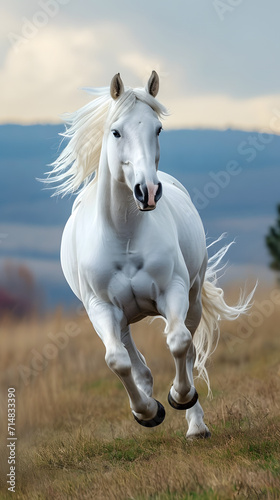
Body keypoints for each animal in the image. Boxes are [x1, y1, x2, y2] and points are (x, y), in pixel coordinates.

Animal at [46, 71, 254, 438]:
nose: (148, 191)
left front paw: (179, 399)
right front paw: (146, 411)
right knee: (132, 358)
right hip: (121, 318)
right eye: (116, 132)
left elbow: (178, 343)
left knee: (188, 349)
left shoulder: (174, 291)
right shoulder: (102, 308)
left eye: (157, 129)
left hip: (193, 299)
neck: (125, 235)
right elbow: (117, 361)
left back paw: (195, 423)